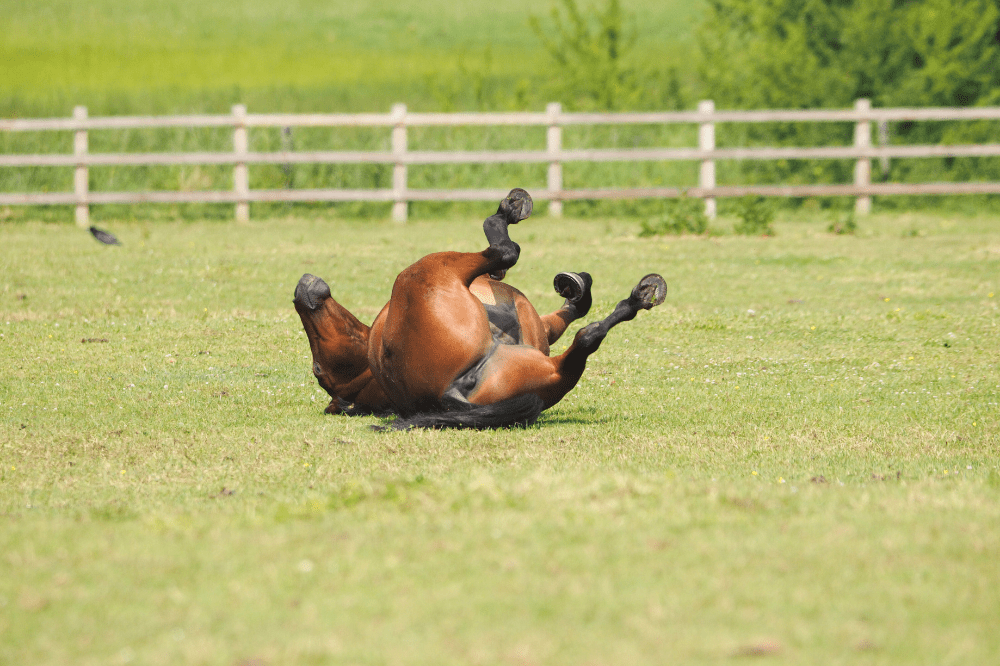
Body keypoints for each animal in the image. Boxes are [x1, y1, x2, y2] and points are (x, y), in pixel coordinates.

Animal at [293, 188, 666, 430]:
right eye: (319, 369)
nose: (301, 292)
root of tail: (448, 392)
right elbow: (505, 258)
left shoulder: (538, 328)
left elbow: (568, 311)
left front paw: (575, 287)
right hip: (429, 269)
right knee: (582, 330)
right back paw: (642, 295)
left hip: (544, 374)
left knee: (576, 350)